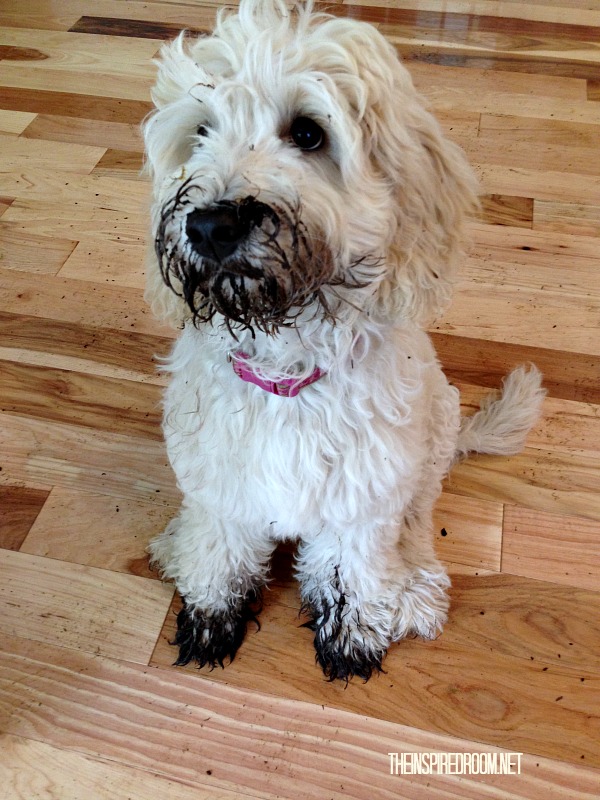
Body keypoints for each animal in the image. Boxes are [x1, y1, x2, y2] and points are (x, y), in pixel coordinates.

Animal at [143, 0, 548, 680]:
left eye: (309, 133)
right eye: (200, 131)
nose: (210, 225)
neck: (286, 375)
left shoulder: (364, 496)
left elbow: (351, 566)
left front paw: (353, 630)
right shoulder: (220, 483)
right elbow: (221, 549)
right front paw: (211, 611)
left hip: (430, 439)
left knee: (416, 521)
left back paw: (412, 586)